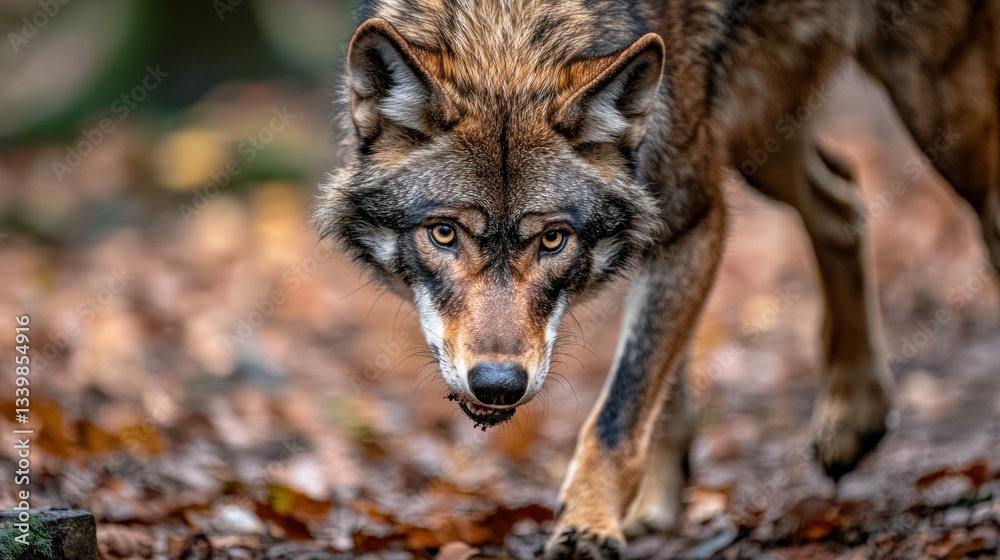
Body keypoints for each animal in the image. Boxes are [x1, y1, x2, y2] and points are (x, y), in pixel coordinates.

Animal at [315, 0, 1000, 557]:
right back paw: (852, 414)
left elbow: (622, 405)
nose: (499, 386)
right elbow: (660, 385)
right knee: (843, 198)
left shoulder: (694, 215)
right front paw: (653, 505)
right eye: (443, 233)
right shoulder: (672, 220)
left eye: (553, 239)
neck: (508, 29)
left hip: (937, 112)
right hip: (758, 136)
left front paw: (590, 525)